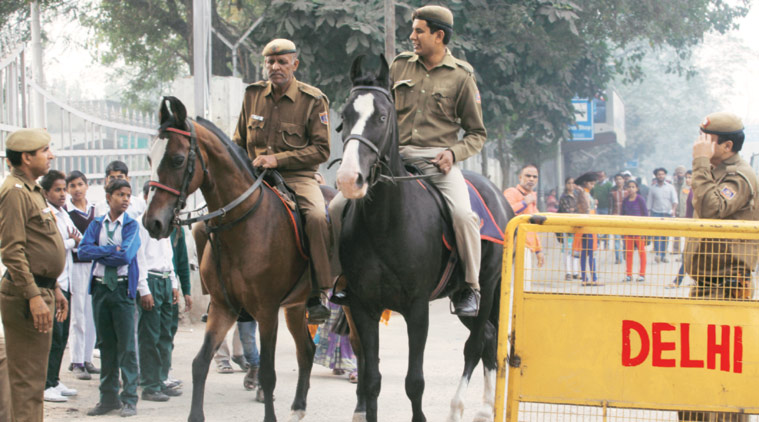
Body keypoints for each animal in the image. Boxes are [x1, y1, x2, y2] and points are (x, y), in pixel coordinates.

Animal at [144, 97, 316, 422]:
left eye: (177, 159)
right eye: (149, 158)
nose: (152, 222)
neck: (242, 225)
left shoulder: (266, 311)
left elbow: (268, 374)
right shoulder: (224, 307)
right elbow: (200, 364)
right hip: (296, 306)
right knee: (307, 350)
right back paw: (299, 407)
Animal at [336, 56, 512, 422]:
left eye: (382, 117)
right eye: (345, 115)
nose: (348, 179)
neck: (385, 222)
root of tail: (498, 196)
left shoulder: (417, 308)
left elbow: (414, 382)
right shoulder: (362, 306)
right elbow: (372, 380)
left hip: (486, 287)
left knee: (476, 345)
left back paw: (460, 407)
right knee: (489, 338)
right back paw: (486, 407)